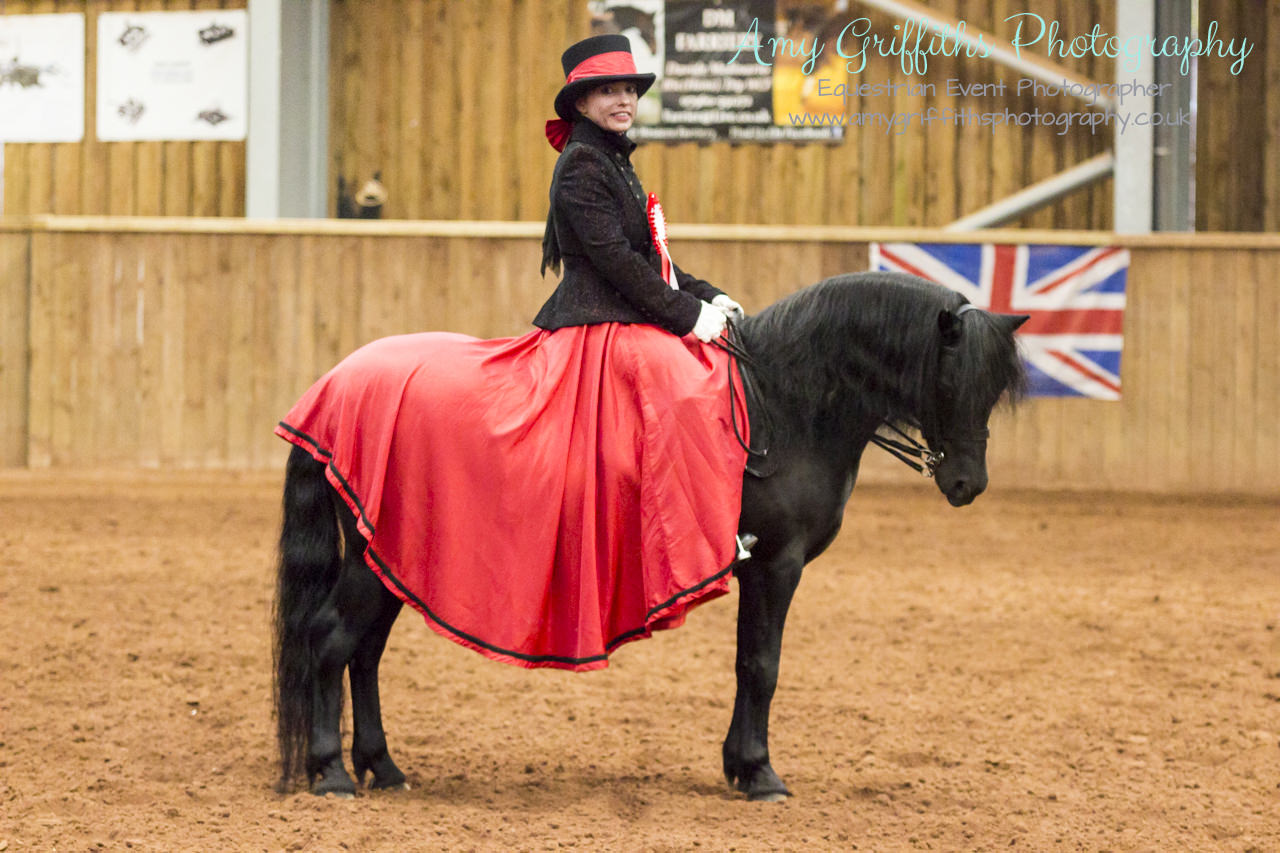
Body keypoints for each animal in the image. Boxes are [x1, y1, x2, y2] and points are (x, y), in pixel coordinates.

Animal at [272, 270, 1029, 799]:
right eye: (950, 381)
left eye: (994, 389)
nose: (968, 483)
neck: (785, 404)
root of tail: (335, 384)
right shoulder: (777, 565)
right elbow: (762, 665)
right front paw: (760, 774)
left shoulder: (761, 567)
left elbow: (747, 664)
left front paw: (739, 765)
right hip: (371, 560)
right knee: (332, 640)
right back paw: (330, 772)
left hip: (391, 556)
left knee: (364, 653)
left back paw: (383, 766)